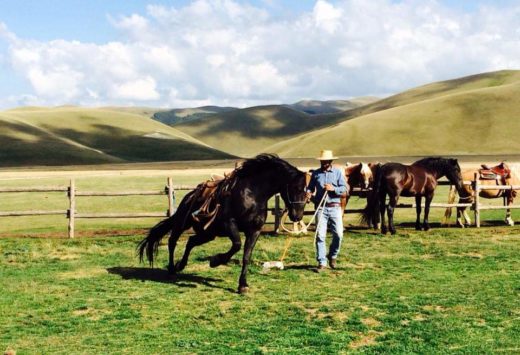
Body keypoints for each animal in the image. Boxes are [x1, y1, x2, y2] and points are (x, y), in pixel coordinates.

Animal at [137, 154, 308, 294]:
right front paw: (216, 260)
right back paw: (172, 269)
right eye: (295, 188)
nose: (297, 216)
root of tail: (189, 196)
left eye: (306, 190)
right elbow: (237, 245)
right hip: (182, 223)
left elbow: (246, 256)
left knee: (191, 242)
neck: (252, 194)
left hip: (208, 233)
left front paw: (242, 285)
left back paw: (181, 265)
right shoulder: (230, 224)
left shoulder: (254, 231)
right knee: (173, 241)